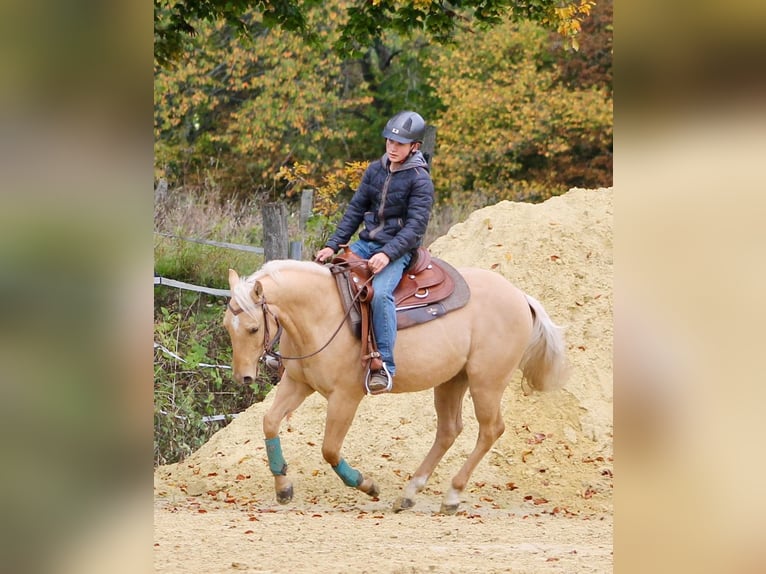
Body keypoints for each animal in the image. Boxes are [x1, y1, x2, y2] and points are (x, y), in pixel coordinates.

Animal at [224, 258, 568, 514]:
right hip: (451, 381)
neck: (322, 313)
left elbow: (330, 449)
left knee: (490, 430)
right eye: (228, 326)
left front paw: (366, 484)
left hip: (486, 382)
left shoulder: (345, 398)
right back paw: (410, 492)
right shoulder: (298, 384)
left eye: (253, 328)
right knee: (449, 430)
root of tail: (520, 296)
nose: (244, 377)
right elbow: (270, 422)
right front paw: (283, 486)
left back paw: (452, 495)